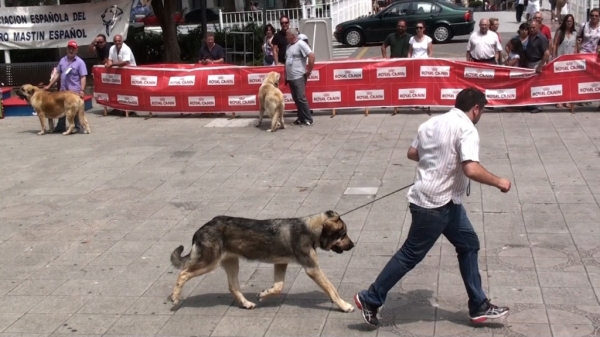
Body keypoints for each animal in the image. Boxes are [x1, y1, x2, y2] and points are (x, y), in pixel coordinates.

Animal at [169, 210, 356, 312]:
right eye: (343, 234)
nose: (353, 245)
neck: (309, 229)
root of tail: (202, 228)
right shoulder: (312, 268)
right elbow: (332, 289)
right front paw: (344, 305)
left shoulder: (281, 263)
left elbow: (279, 287)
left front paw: (264, 294)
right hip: (208, 263)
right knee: (183, 274)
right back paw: (175, 298)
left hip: (231, 262)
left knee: (233, 287)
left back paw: (246, 303)